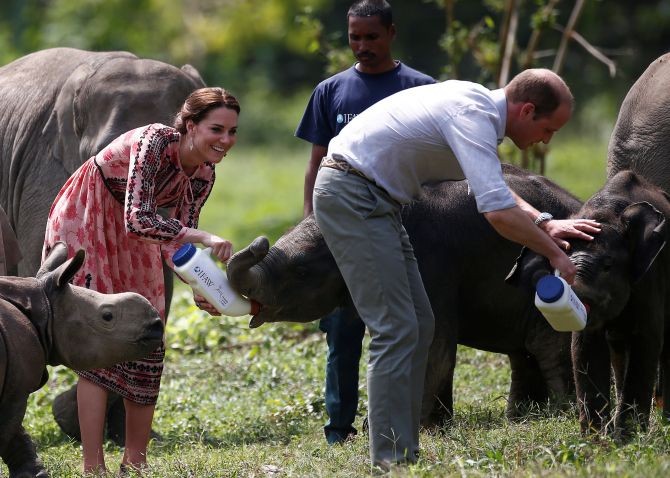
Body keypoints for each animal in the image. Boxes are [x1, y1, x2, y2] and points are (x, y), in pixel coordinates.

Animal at [0, 243, 164, 478]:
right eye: (107, 316)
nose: (157, 325)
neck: (45, 305)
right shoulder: (15, 389)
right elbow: (8, 431)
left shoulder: (12, 386)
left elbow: (15, 436)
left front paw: (35, 474)